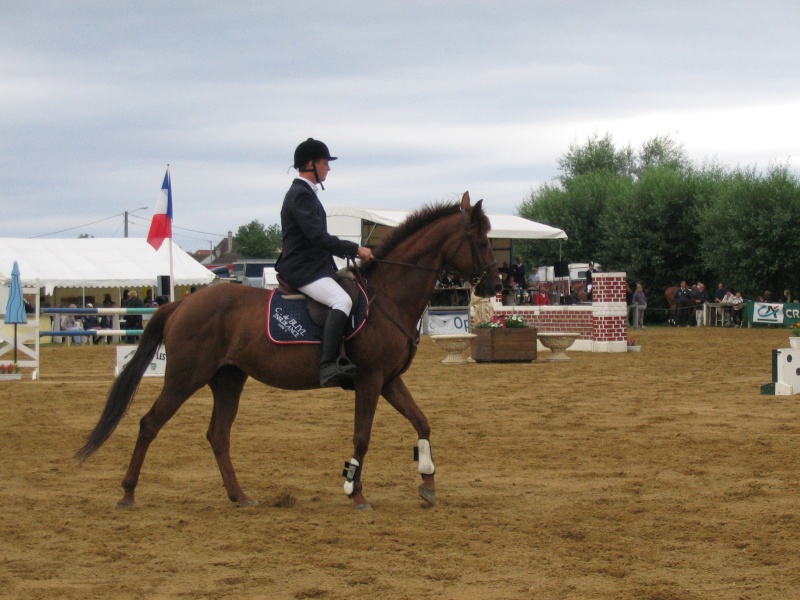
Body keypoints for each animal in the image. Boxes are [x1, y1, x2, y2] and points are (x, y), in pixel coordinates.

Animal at [75, 192, 500, 510]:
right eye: (481, 242)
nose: (495, 285)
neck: (389, 297)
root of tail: (182, 303)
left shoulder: (389, 380)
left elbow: (422, 422)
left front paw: (427, 481)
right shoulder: (370, 379)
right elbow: (362, 435)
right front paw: (355, 490)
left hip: (228, 379)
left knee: (218, 435)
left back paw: (240, 496)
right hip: (185, 377)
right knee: (150, 424)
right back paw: (128, 493)